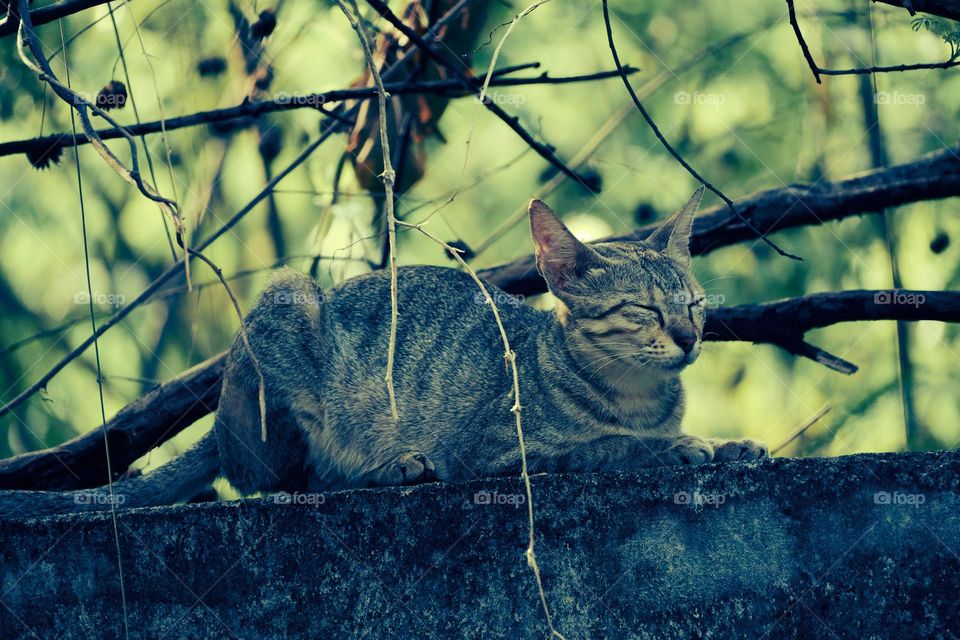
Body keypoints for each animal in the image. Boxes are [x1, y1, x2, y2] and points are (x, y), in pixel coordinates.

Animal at [0, 189, 764, 520]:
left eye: (696, 306)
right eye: (644, 310)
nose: (690, 337)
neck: (639, 399)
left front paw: (732, 444)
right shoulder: (497, 451)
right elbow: (604, 447)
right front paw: (673, 447)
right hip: (290, 304)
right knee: (292, 481)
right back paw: (390, 467)